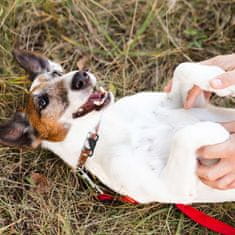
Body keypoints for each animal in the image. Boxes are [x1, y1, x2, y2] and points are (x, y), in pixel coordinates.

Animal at [0, 50, 235, 204]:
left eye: (57, 73)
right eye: (42, 102)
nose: (81, 76)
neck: (110, 128)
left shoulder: (192, 103)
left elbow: (182, 68)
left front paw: (219, 79)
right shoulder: (173, 188)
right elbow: (183, 136)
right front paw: (216, 131)